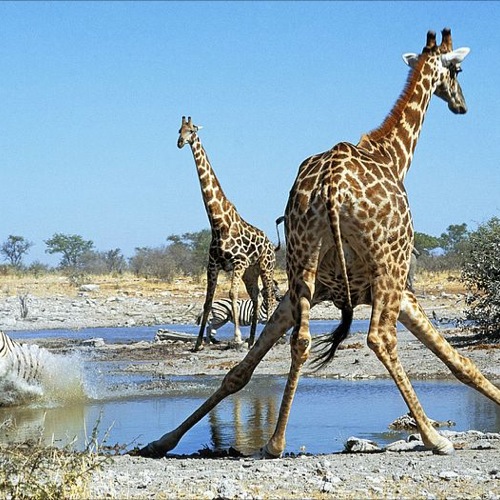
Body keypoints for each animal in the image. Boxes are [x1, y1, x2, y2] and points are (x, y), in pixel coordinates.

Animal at [177, 117, 278, 352]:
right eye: (179, 130)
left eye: (192, 130)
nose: (180, 142)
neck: (217, 223)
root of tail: (271, 243)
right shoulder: (213, 265)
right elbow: (208, 300)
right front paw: (197, 343)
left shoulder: (238, 263)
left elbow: (232, 294)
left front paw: (237, 338)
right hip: (251, 271)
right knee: (256, 296)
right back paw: (252, 341)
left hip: (266, 266)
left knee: (269, 294)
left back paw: (271, 337)